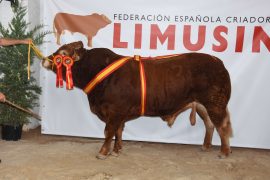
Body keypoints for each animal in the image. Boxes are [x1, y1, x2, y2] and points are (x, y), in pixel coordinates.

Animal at [42, 41, 232, 159]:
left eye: (63, 53)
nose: (45, 60)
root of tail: (217, 61)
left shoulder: (114, 111)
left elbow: (109, 131)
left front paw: (103, 152)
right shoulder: (118, 113)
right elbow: (118, 131)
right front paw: (117, 150)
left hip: (215, 104)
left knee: (221, 126)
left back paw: (224, 152)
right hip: (202, 105)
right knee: (210, 124)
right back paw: (206, 146)